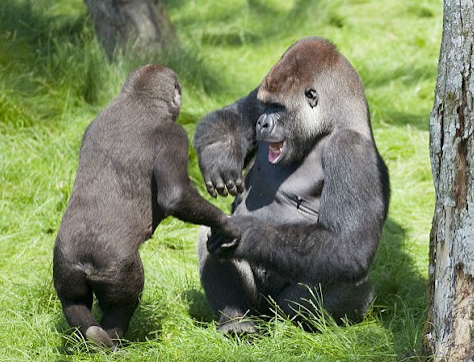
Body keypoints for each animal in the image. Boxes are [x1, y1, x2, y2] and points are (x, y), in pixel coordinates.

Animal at [53, 63, 241, 350]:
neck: (137, 98)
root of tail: (85, 262)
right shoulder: (175, 135)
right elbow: (176, 195)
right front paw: (226, 225)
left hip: (65, 263)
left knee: (73, 302)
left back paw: (91, 340)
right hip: (118, 269)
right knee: (124, 302)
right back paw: (112, 343)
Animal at [193, 37, 388, 334]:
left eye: (278, 108)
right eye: (266, 106)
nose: (262, 123)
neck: (330, 124)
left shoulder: (351, 149)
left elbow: (348, 247)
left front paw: (247, 233)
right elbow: (232, 113)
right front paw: (220, 151)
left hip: (290, 308)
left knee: (344, 277)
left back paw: (295, 327)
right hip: (258, 306)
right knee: (208, 233)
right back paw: (237, 319)